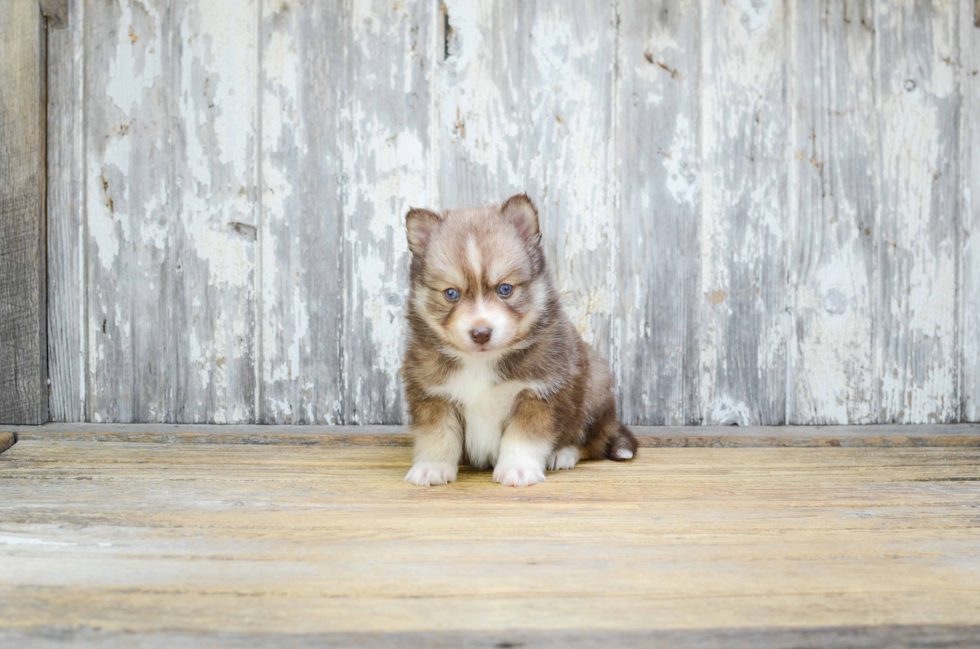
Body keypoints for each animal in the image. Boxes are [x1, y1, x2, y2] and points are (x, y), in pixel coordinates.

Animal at [402, 194, 640, 486]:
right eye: (451, 293)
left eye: (505, 289)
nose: (481, 333)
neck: (482, 362)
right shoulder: (432, 395)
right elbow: (437, 435)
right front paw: (431, 467)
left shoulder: (539, 393)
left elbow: (523, 438)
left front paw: (518, 469)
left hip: (595, 389)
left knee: (591, 442)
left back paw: (563, 454)